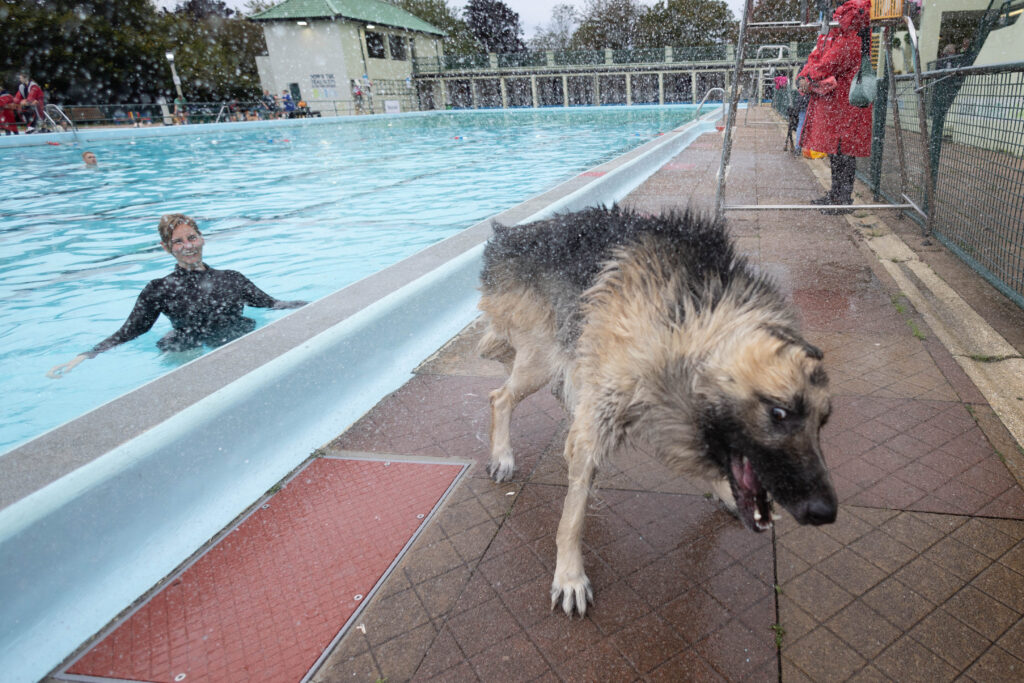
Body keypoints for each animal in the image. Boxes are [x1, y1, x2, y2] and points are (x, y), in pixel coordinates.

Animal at [475, 205, 835, 618]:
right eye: (778, 413)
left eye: (823, 422)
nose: (826, 512)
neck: (687, 309)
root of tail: (506, 236)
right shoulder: (602, 417)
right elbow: (573, 515)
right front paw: (569, 576)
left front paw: (722, 491)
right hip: (540, 359)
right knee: (500, 396)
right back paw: (503, 456)